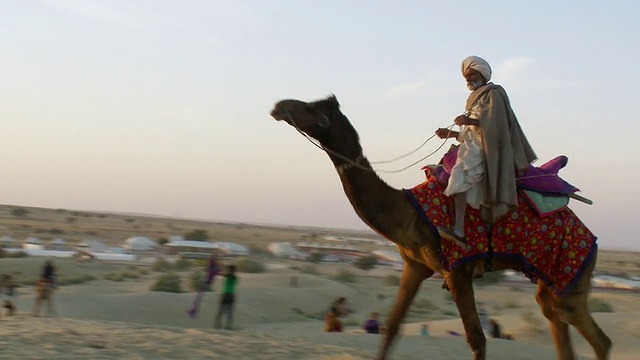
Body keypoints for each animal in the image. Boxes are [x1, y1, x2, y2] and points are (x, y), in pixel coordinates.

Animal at [268, 96, 608, 360]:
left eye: (312, 109)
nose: (279, 105)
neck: (410, 213)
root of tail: (593, 239)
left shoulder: (457, 271)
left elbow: (477, 340)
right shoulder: (415, 265)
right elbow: (391, 328)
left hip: (569, 273)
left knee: (596, 337)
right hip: (551, 280)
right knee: (558, 322)